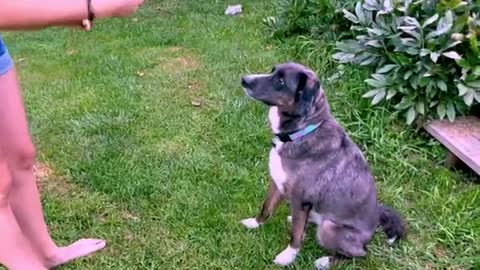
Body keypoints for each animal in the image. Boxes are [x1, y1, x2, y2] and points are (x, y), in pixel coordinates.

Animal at [240, 62, 404, 268]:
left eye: (281, 81)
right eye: (273, 71)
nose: (244, 80)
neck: (302, 132)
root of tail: (375, 223)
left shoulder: (300, 199)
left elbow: (295, 235)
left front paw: (288, 256)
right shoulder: (277, 184)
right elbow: (266, 208)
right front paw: (255, 223)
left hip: (329, 228)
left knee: (360, 254)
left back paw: (326, 261)